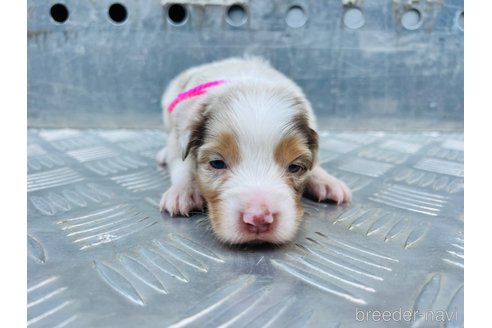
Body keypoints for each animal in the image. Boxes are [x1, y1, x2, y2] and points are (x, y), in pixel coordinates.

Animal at [156, 57, 352, 245]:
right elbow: (181, 163)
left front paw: (325, 180)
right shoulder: (178, 130)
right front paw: (183, 191)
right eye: (217, 163)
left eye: (295, 167)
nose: (258, 219)